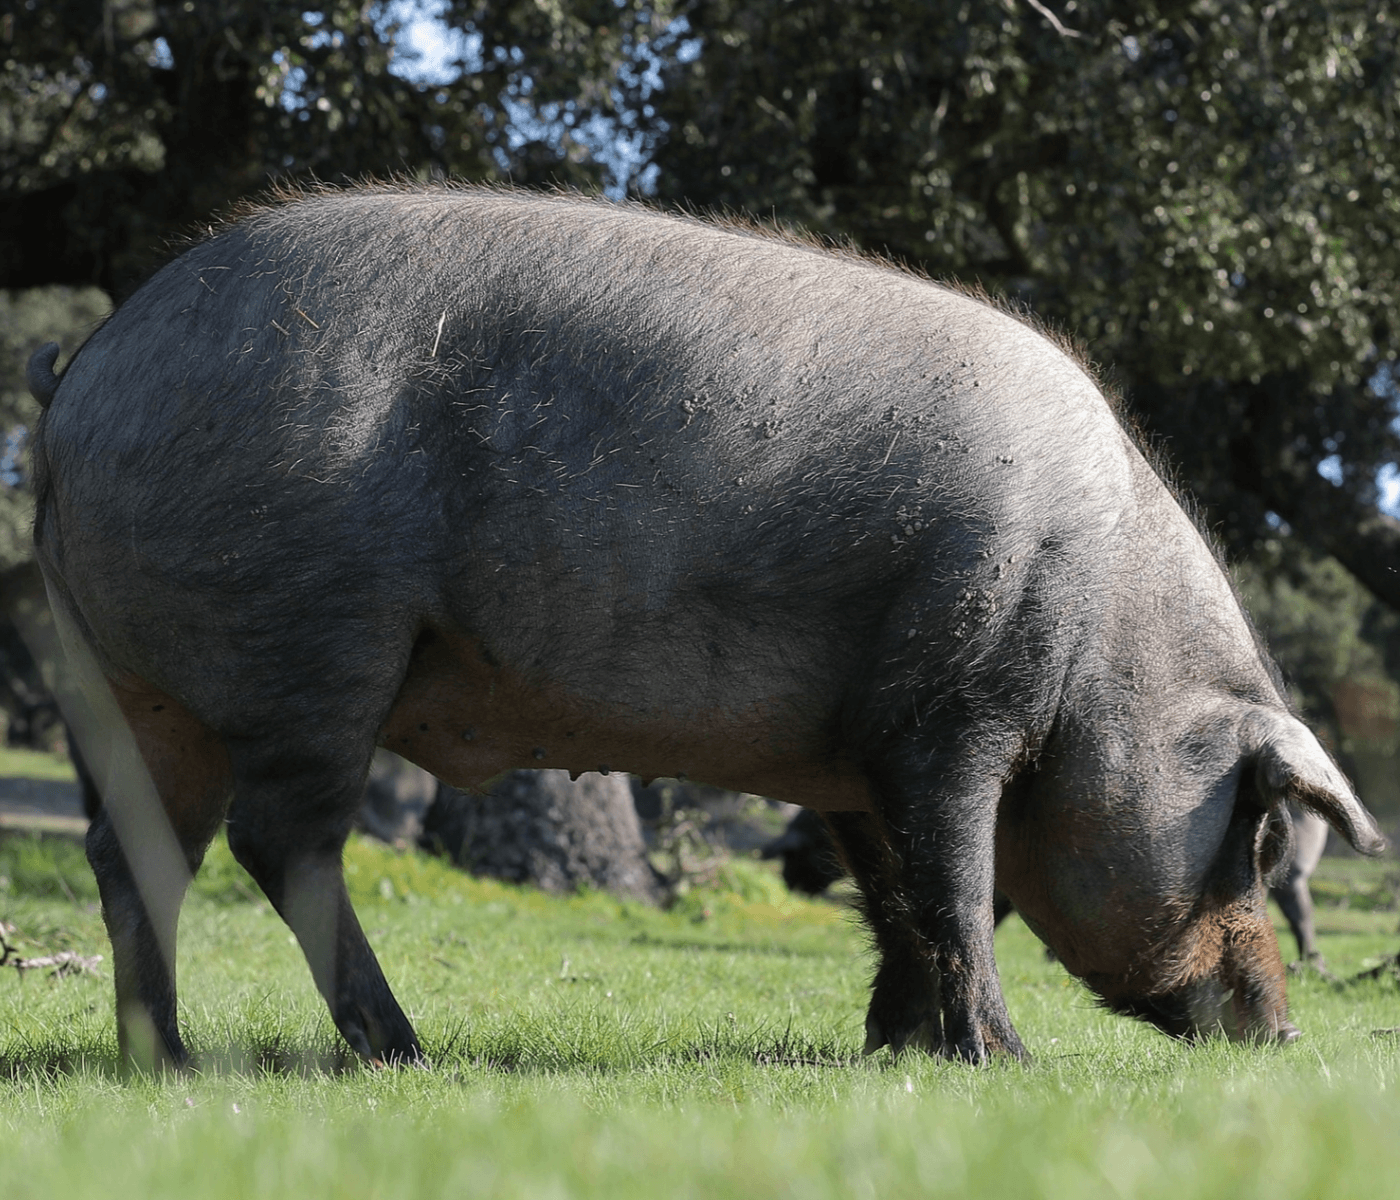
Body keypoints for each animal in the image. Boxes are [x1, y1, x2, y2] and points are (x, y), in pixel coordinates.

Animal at [27, 184, 1385, 1068]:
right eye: (1260, 837)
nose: (1281, 1029)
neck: (1104, 649)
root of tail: (81, 382)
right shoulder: (952, 710)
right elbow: (956, 883)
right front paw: (1002, 1061)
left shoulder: (857, 749)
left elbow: (899, 895)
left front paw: (895, 1052)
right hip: (308, 646)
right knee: (282, 842)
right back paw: (398, 1051)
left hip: (139, 689)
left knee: (136, 854)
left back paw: (168, 1062)